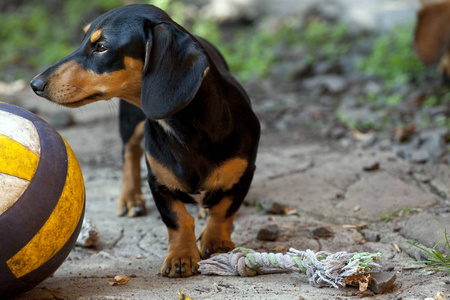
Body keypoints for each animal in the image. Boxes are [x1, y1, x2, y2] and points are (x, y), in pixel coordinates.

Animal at [29, 4, 260, 278]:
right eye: (83, 39)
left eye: (102, 47)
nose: (35, 84)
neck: (185, 131)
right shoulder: (157, 182)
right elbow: (177, 219)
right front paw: (181, 256)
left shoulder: (243, 174)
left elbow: (223, 211)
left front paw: (216, 242)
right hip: (130, 123)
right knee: (129, 153)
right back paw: (130, 198)